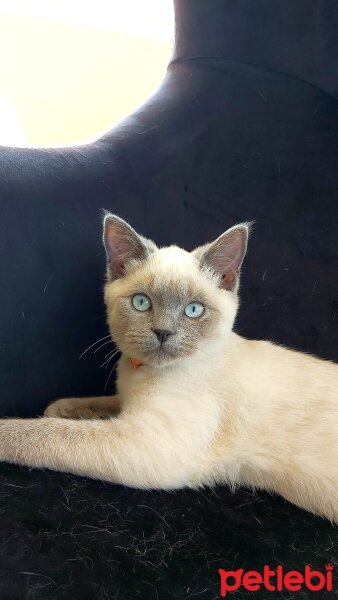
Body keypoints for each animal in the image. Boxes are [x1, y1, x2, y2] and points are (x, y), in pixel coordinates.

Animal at [0, 213, 338, 524]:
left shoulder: (147, 440)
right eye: (141, 303)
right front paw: (59, 407)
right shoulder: (129, 407)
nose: (163, 332)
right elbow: (100, 404)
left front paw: (22, 426)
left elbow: (54, 433)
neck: (141, 371)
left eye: (193, 310)